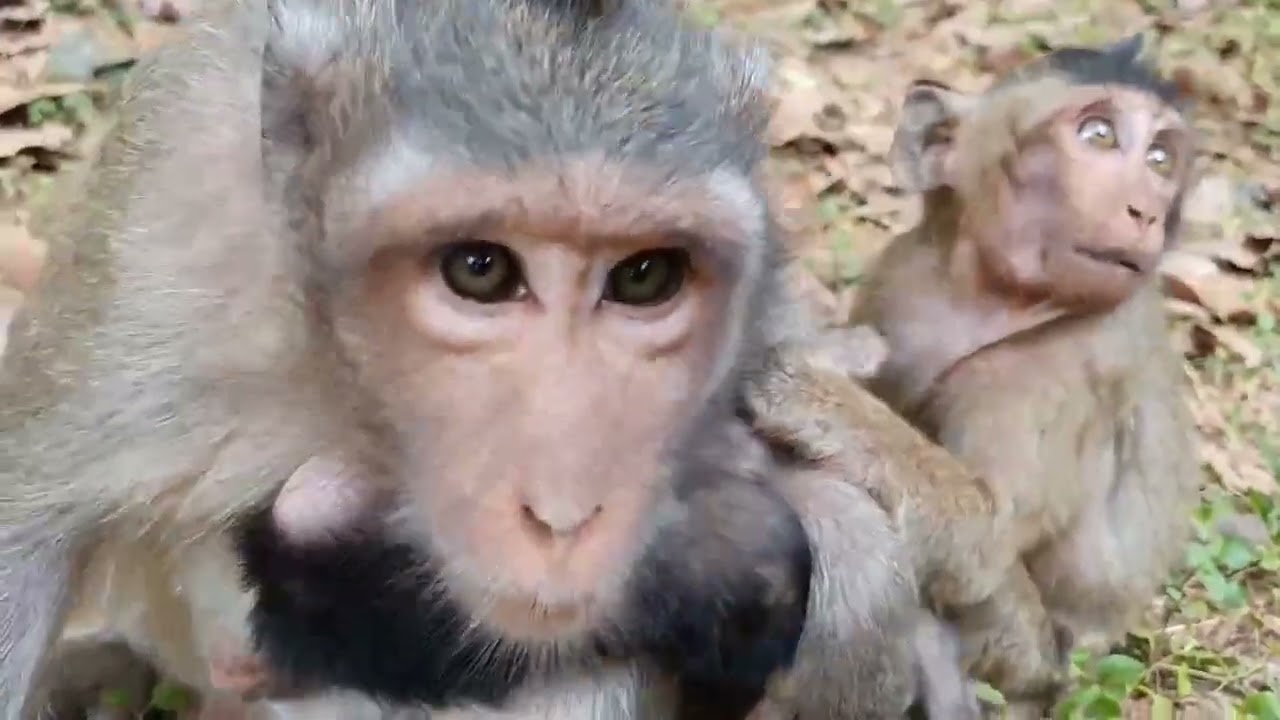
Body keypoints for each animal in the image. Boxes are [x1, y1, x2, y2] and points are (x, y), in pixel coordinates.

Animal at [847, 34, 1204, 718]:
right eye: (1098, 135)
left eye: (1158, 158)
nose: (1146, 209)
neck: (986, 294)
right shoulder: (894, 277)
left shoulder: (1053, 369)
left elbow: (981, 537)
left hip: (1030, 654)